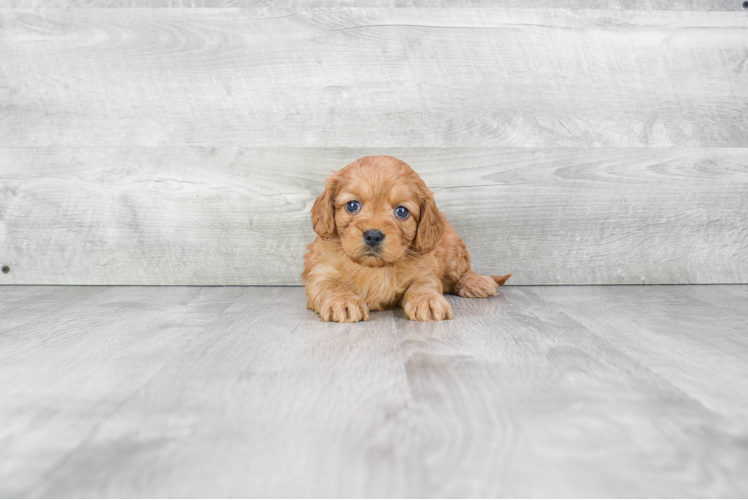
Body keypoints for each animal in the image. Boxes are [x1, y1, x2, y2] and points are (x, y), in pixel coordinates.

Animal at [300, 154, 512, 322]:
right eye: (352, 206)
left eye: (401, 211)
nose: (373, 236)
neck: (376, 268)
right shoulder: (320, 273)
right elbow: (331, 285)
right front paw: (343, 302)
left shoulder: (426, 272)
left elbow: (423, 285)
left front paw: (428, 300)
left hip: (453, 251)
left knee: (460, 274)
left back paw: (477, 282)